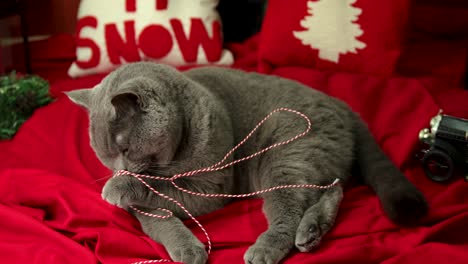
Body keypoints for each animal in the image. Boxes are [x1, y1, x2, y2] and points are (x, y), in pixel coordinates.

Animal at [66, 62, 428, 264]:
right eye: (103, 157)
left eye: (124, 147)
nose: (119, 170)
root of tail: (342, 105)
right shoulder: (151, 206)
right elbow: (157, 219)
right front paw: (187, 249)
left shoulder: (211, 186)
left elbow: (157, 190)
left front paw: (117, 188)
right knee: (334, 189)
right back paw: (311, 233)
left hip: (285, 154)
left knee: (290, 210)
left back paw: (267, 248)